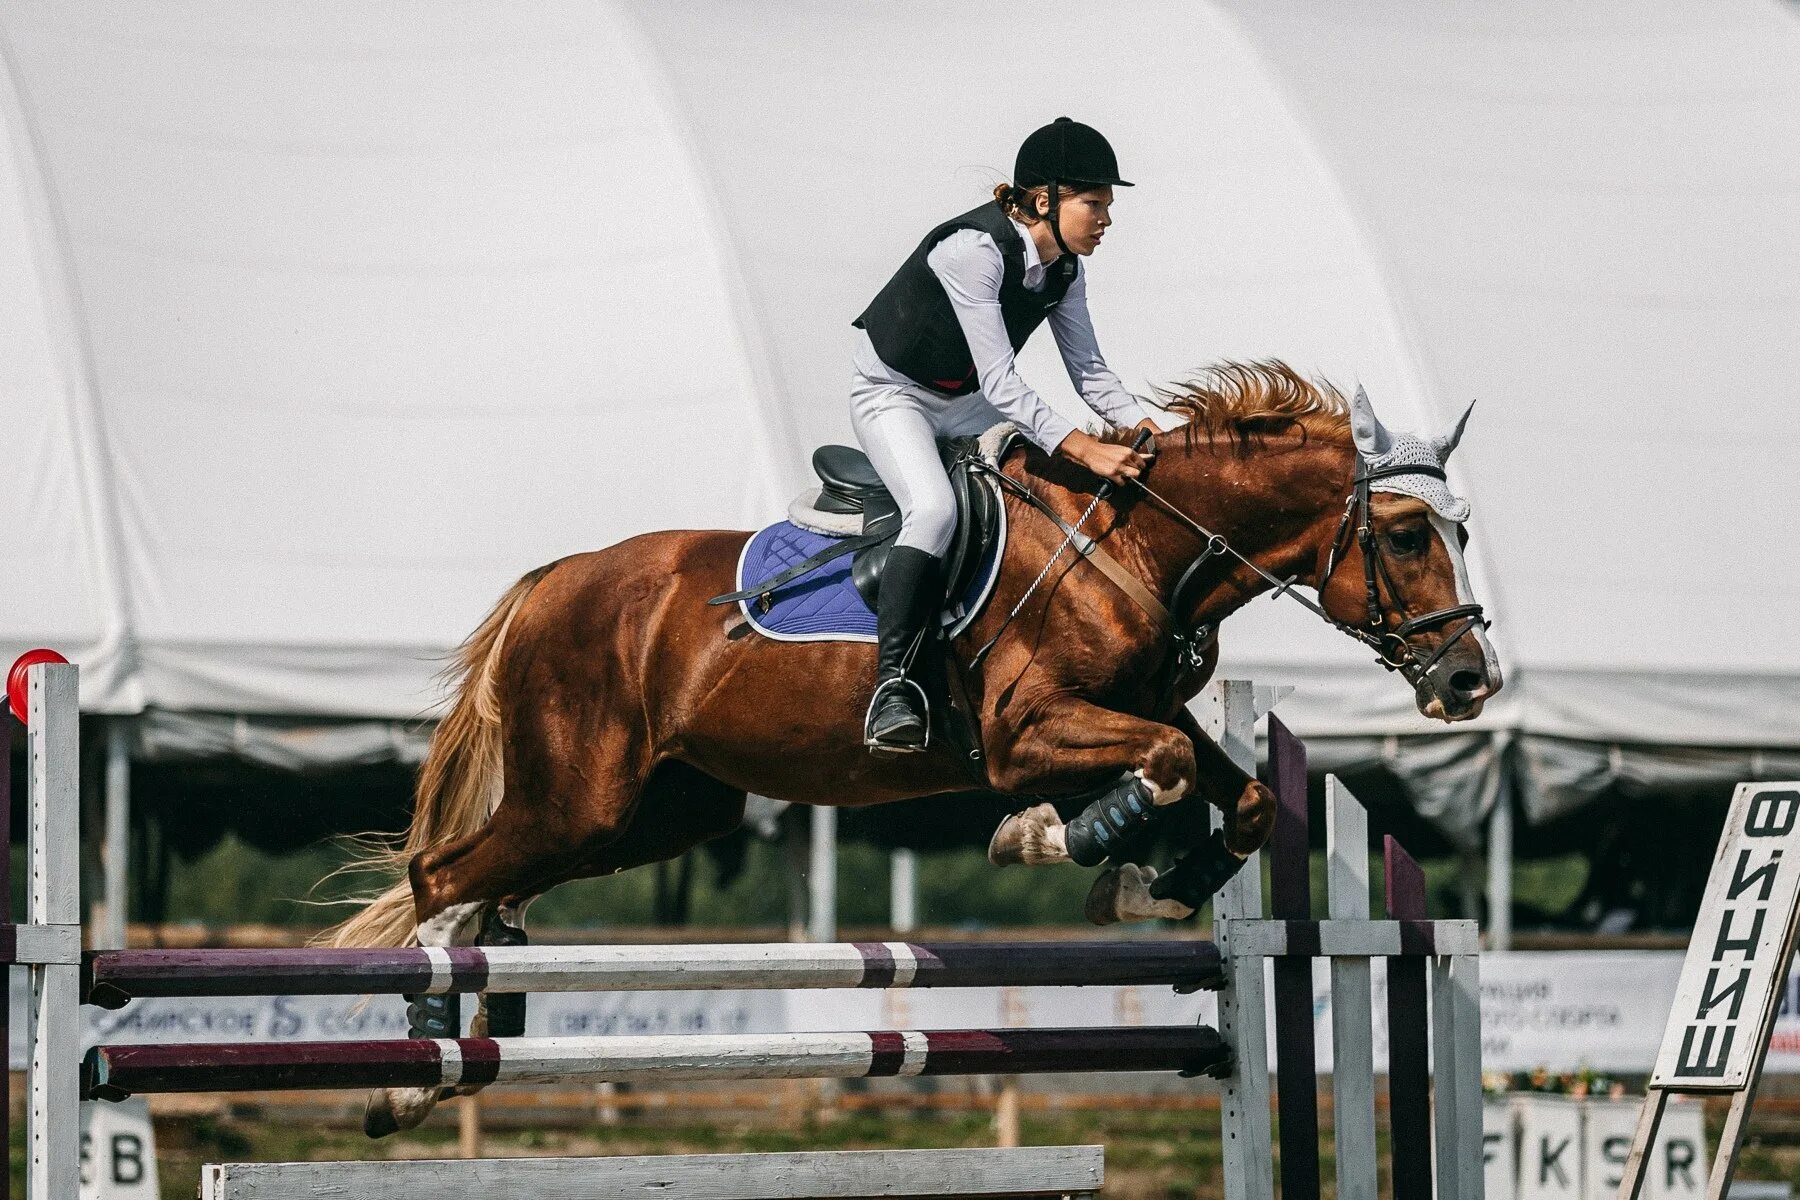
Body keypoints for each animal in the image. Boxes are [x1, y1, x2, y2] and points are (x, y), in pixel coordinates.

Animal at [331, 359, 1497, 1137]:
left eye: (1463, 530)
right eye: (1406, 535)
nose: (1470, 680)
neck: (1137, 546)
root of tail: (554, 580)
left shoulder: (1151, 715)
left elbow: (1239, 795)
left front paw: (1157, 880)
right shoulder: (1026, 733)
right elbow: (1158, 766)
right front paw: (1057, 841)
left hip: (656, 813)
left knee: (492, 887)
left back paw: (471, 1029)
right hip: (582, 796)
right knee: (441, 876)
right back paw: (414, 1071)